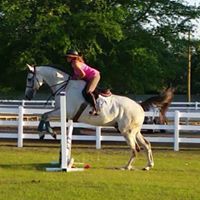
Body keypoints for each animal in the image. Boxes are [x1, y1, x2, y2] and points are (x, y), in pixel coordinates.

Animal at [24, 64, 154, 170]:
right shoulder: (61, 112)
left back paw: (126, 167)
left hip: (127, 131)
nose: (27, 96)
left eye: (29, 79)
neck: (65, 87)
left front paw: (45, 133)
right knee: (146, 144)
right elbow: (45, 116)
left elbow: (44, 115)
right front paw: (48, 133)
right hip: (135, 132)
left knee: (135, 149)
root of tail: (139, 106)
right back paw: (148, 166)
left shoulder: (65, 112)